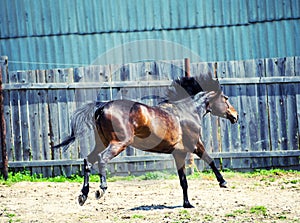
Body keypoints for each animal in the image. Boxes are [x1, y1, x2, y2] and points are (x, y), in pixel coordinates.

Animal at [52, 72, 238, 208]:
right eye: (226, 98)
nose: (235, 116)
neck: (188, 111)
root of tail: (102, 107)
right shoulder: (194, 146)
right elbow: (210, 160)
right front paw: (223, 182)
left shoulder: (178, 153)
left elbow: (183, 181)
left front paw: (187, 204)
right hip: (118, 143)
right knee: (101, 159)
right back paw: (101, 190)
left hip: (102, 143)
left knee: (87, 161)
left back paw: (83, 195)